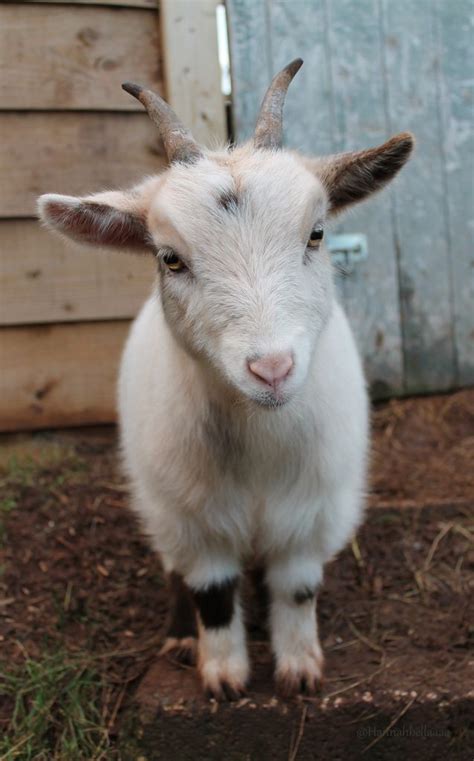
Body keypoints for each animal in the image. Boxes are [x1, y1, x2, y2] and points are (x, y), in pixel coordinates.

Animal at [39, 59, 412, 700]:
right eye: (169, 258)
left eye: (316, 234)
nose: (272, 369)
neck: (259, 443)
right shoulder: (191, 521)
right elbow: (210, 593)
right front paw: (223, 676)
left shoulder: (313, 513)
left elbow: (297, 589)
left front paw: (299, 670)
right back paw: (180, 637)